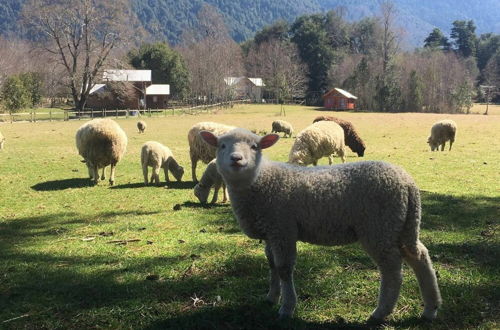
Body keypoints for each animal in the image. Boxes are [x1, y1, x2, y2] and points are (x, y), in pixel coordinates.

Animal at [199, 127, 442, 324]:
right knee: (419, 256)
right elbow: (272, 265)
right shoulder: (271, 231)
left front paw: (287, 308)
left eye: (254, 146)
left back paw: (380, 313)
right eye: (221, 145)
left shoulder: (283, 229)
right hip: (401, 224)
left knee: (392, 270)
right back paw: (430, 309)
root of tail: (408, 183)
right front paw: (271, 297)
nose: (236, 159)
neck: (259, 181)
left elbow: (284, 269)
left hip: (379, 226)